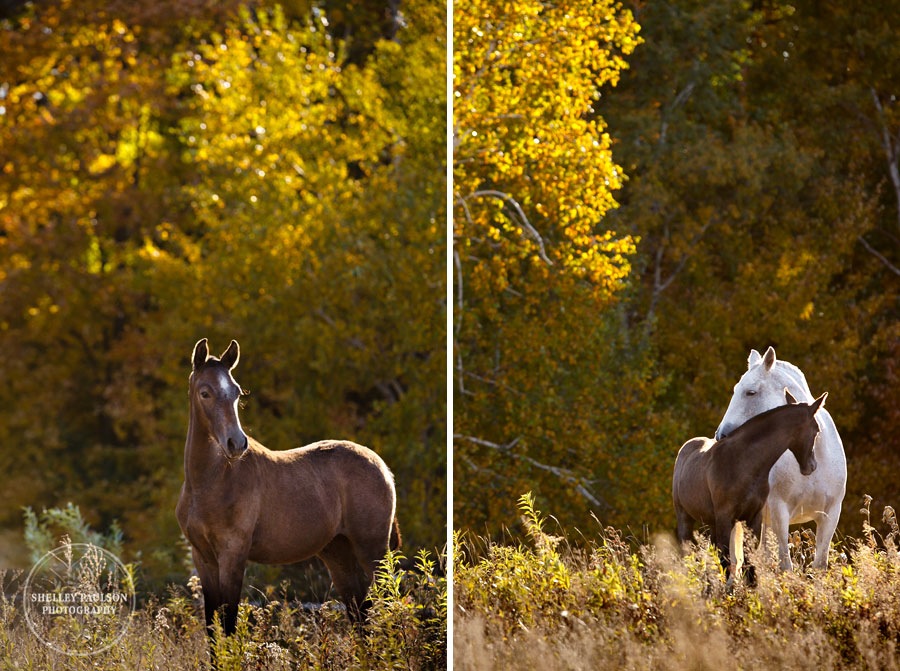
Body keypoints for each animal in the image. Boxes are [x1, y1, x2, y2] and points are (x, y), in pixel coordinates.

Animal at [176, 338, 400, 636]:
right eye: (205, 393)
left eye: (236, 392)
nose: (236, 444)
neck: (208, 483)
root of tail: (382, 467)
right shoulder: (203, 558)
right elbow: (214, 628)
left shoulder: (233, 555)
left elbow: (230, 624)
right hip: (337, 552)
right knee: (359, 611)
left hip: (372, 548)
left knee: (387, 601)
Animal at [672, 388, 828, 584]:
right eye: (817, 429)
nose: (812, 466)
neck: (744, 462)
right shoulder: (725, 517)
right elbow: (727, 562)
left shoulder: (753, 518)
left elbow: (749, 564)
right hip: (685, 517)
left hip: (713, 523)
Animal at [712, 346, 848, 572]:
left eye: (751, 392)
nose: (721, 435)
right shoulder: (779, 512)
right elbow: (786, 565)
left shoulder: (830, 515)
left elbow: (819, 565)